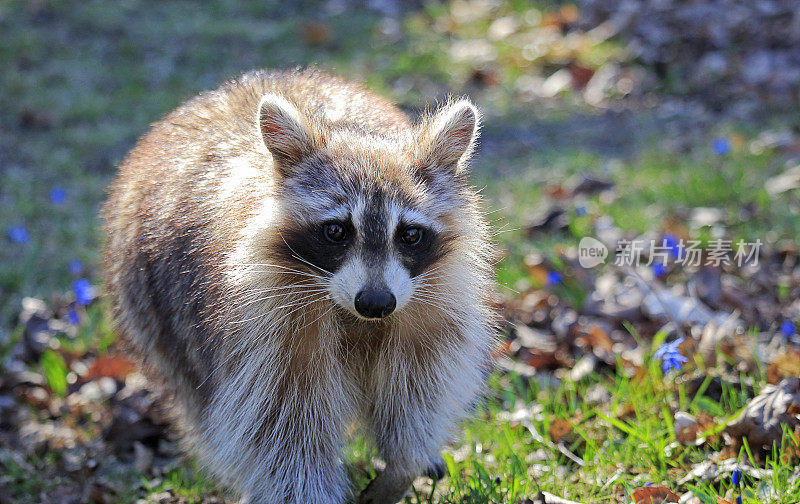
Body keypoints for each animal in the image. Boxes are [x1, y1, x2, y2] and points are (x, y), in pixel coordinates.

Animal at [100, 68, 494, 504]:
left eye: (409, 235)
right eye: (336, 230)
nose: (376, 302)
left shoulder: (430, 305)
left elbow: (417, 395)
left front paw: (404, 466)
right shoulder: (259, 330)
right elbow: (282, 430)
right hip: (154, 312)